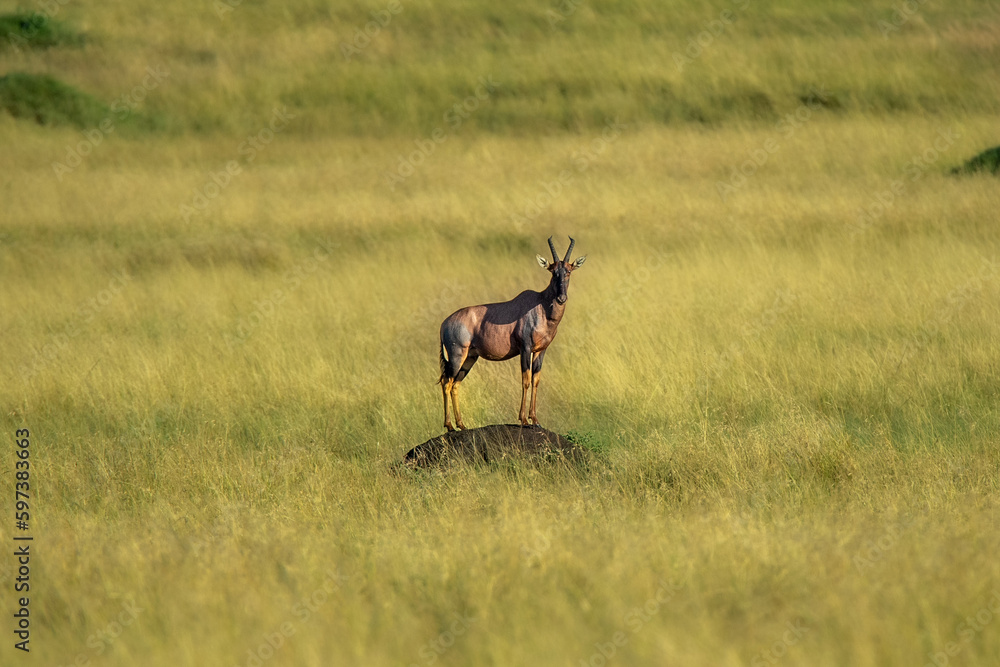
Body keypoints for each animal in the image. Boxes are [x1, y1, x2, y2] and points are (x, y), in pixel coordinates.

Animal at [438, 236, 586, 432]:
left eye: (568, 271)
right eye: (553, 271)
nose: (561, 298)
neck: (541, 305)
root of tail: (444, 323)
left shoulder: (541, 350)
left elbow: (536, 380)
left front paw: (535, 419)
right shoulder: (525, 348)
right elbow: (525, 380)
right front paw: (523, 420)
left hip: (470, 358)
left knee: (455, 384)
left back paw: (462, 425)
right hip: (456, 355)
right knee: (446, 382)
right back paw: (449, 426)